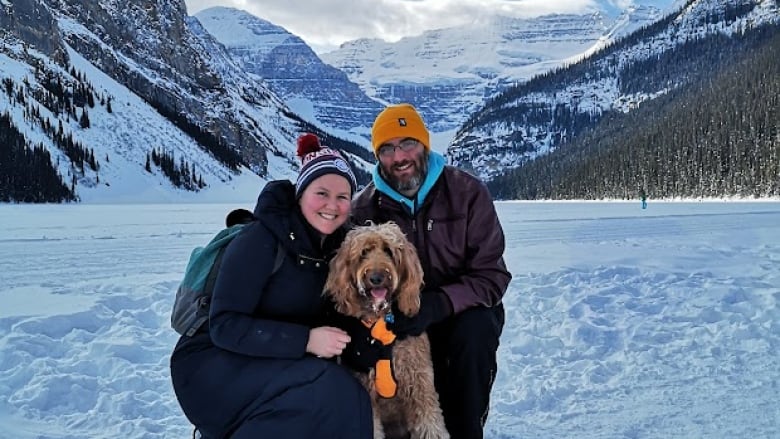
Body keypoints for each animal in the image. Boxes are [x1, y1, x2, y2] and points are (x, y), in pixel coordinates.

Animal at [322, 223, 448, 439]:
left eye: (389, 251)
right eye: (363, 252)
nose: (376, 277)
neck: (381, 323)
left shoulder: (419, 383)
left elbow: (430, 424)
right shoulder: (366, 391)